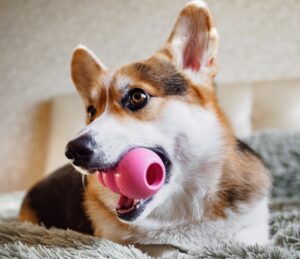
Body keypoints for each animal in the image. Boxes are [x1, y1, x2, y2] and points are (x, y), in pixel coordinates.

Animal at [19, 1, 272, 255]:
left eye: (137, 97)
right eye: (91, 112)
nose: (73, 150)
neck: (184, 207)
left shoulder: (255, 229)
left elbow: (243, 239)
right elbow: (164, 248)